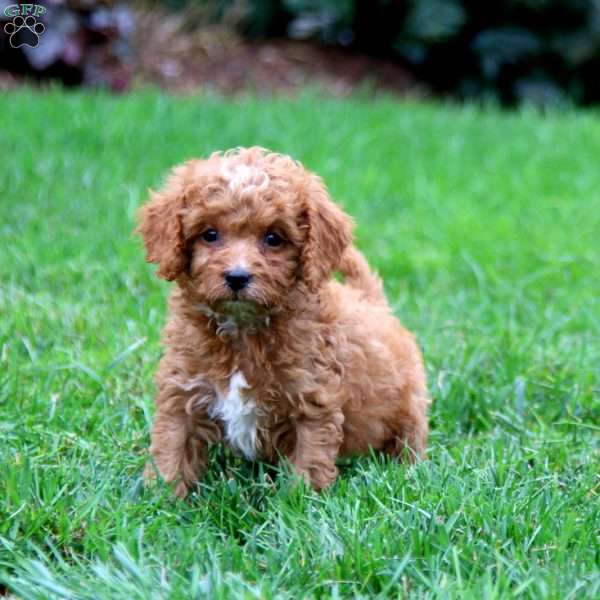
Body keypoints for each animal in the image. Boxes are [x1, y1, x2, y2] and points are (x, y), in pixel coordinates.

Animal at [137, 146, 426, 496]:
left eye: (273, 238)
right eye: (210, 235)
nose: (237, 277)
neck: (243, 330)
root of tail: (372, 302)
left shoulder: (312, 402)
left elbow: (309, 460)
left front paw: (299, 502)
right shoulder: (182, 391)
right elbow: (171, 450)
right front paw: (160, 499)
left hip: (409, 405)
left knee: (409, 439)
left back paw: (409, 471)